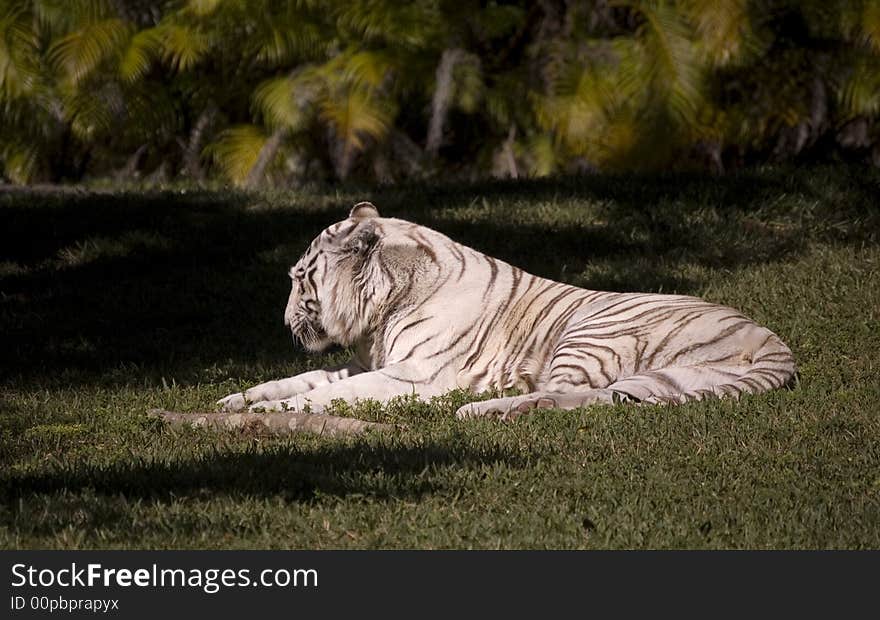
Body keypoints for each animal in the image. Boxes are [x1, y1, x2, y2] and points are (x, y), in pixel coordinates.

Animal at [217, 201, 796, 418]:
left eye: (299, 280)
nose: (283, 320)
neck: (380, 315)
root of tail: (768, 337)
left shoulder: (413, 374)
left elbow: (333, 392)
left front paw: (275, 411)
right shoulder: (366, 361)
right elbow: (306, 376)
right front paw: (236, 399)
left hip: (592, 333)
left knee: (568, 395)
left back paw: (481, 409)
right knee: (603, 398)